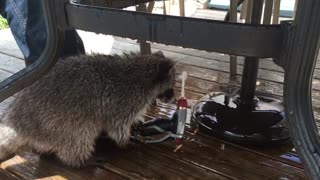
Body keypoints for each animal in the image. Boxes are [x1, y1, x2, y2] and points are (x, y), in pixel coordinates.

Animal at [0, 50, 175, 167]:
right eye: (172, 87)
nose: (173, 99)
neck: (141, 70)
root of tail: (17, 118)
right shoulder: (123, 101)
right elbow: (116, 127)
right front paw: (126, 141)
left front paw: (136, 123)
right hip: (60, 122)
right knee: (79, 136)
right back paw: (81, 160)